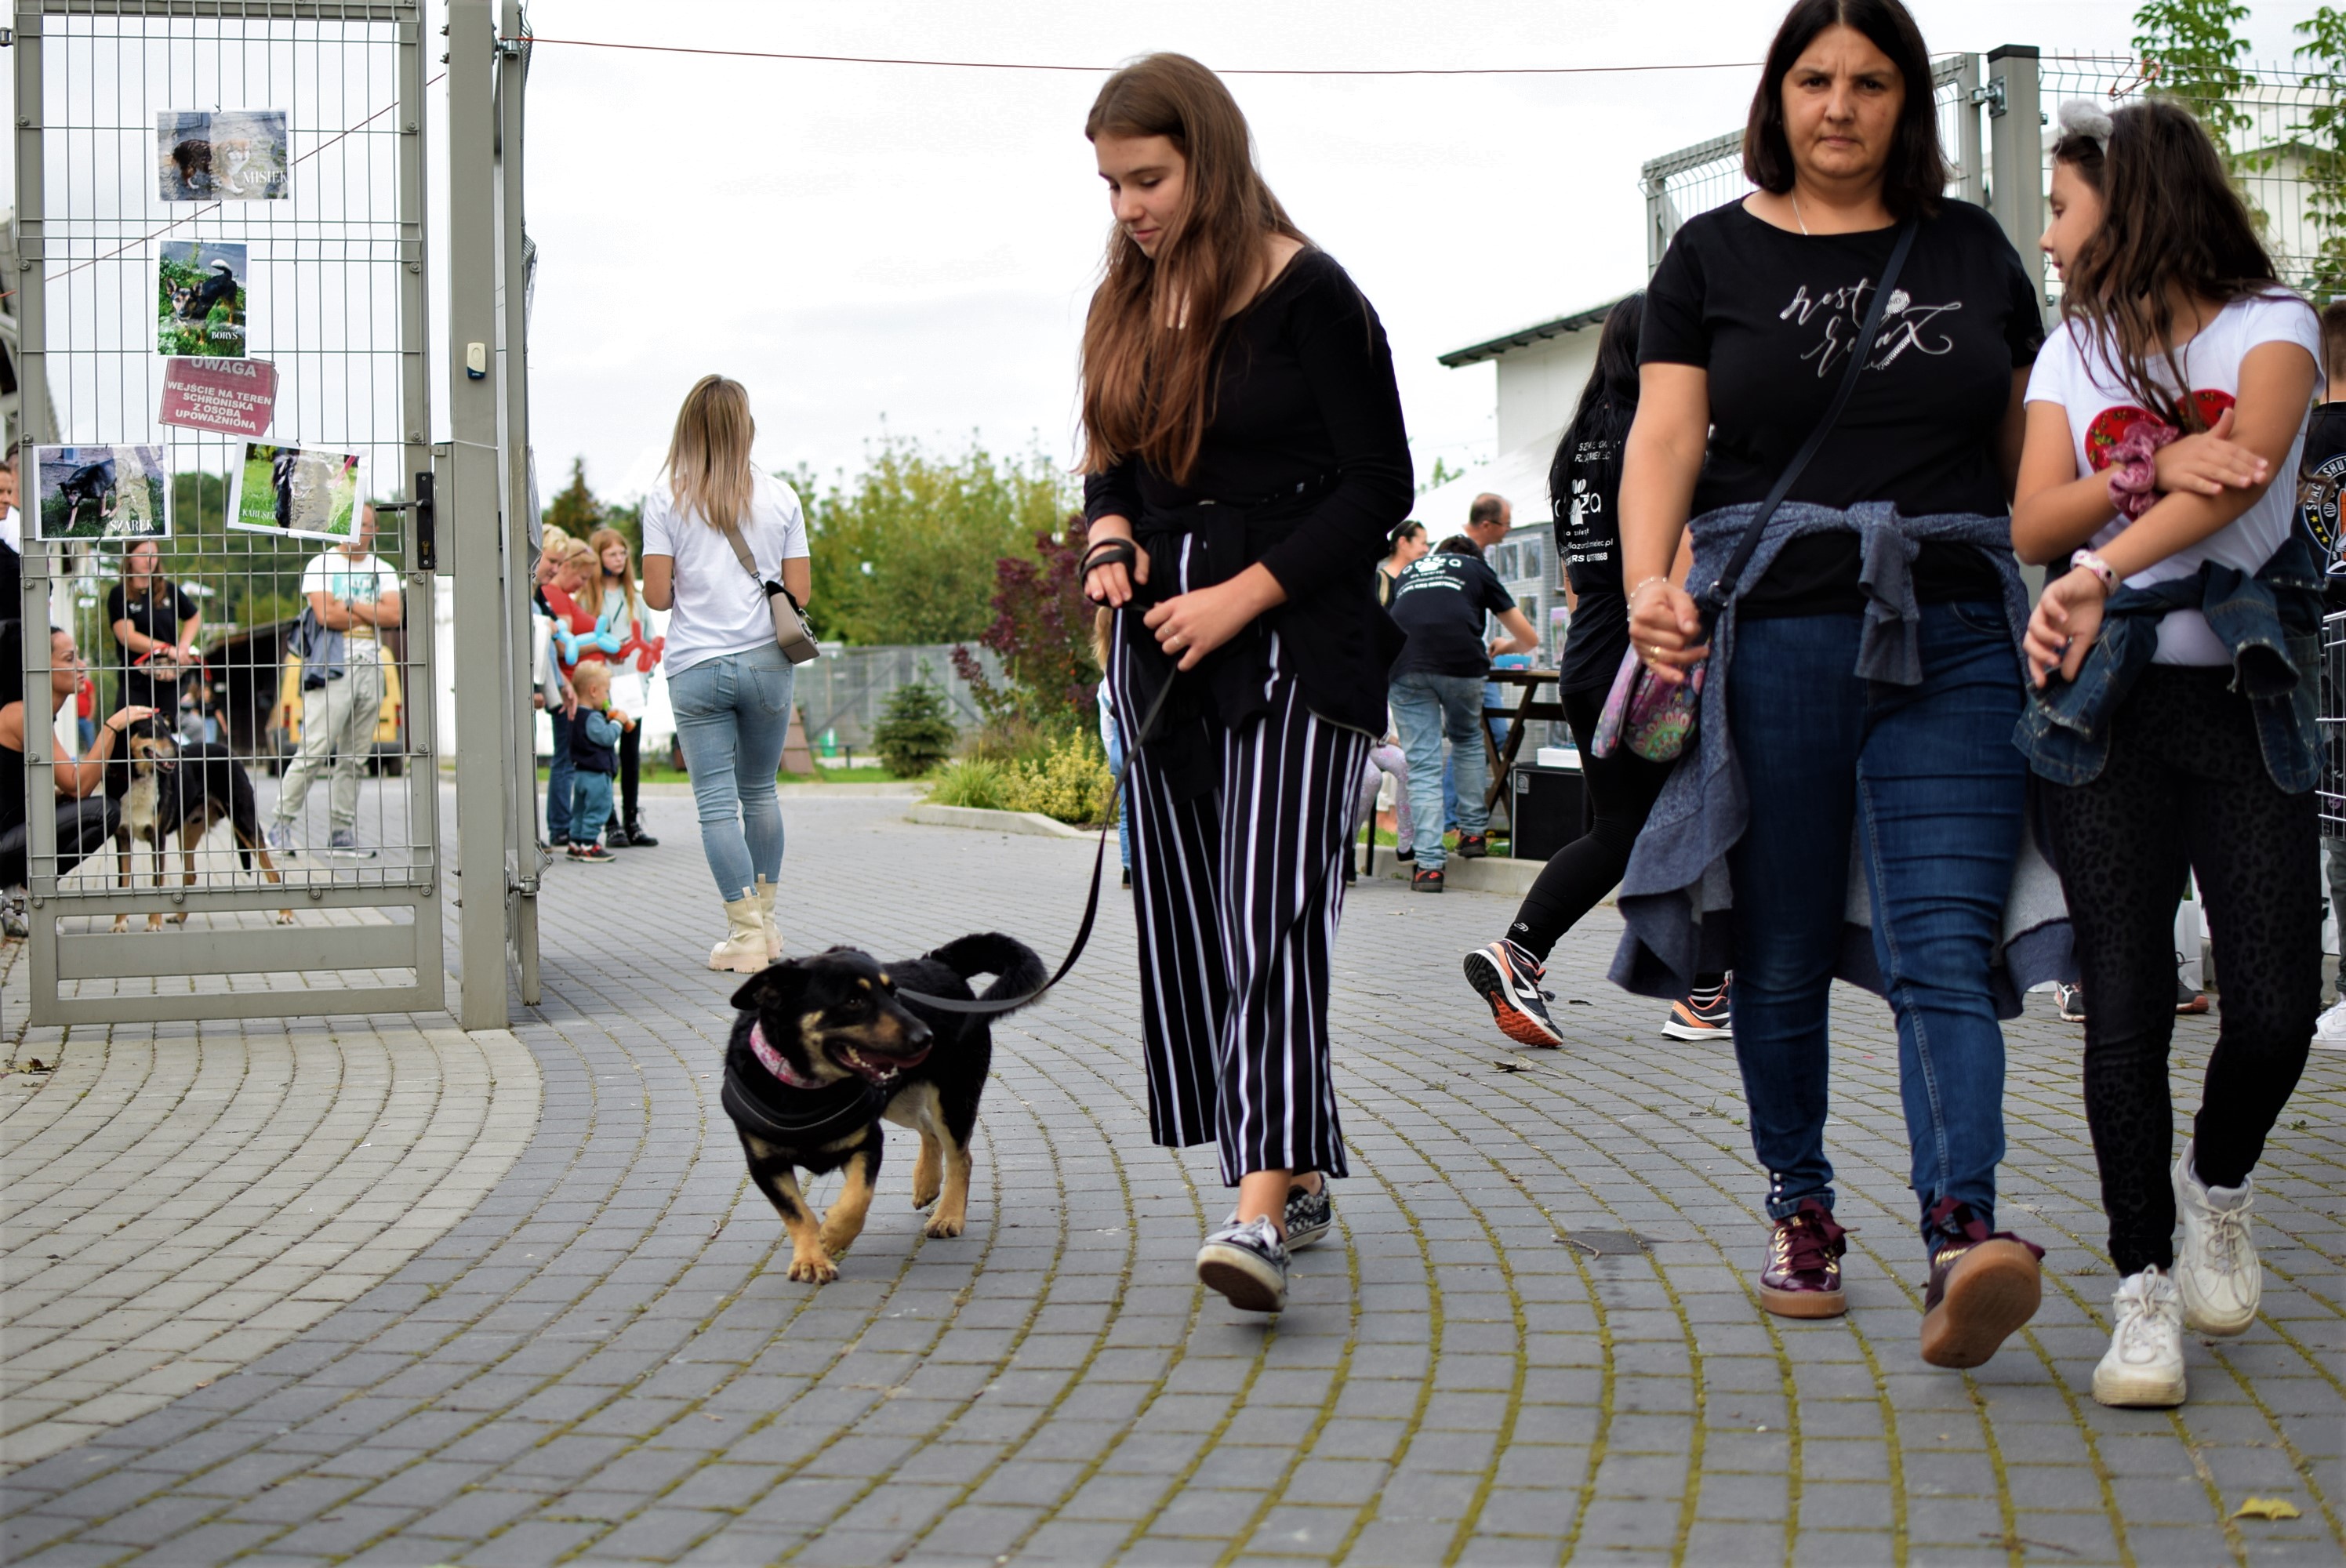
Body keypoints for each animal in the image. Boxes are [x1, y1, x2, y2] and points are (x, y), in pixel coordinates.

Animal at [107, 718, 292, 929]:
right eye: (151, 728)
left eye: (168, 729)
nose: (181, 752)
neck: (137, 778)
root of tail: (228, 751)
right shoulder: (122, 838)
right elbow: (123, 883)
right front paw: (120, 923)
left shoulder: (158, 838)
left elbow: (157, 882)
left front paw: (154, 923)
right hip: (188, 831)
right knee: (190, 875)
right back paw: (179, 917)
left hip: (244, 821)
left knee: (274, 872)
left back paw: (286, 914)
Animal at [717, 938, 1041, 1276]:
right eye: (854, 1001)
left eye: (893, 993)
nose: (926, 1037)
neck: (806, 1089)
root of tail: (939, 963)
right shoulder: (765, 1164)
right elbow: (797, 1213)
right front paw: (810, 1259)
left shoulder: (868, 1142)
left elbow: (857, 1198)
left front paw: (833, 1234)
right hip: (900, 1101)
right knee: (929, 1130)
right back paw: (926, 1182)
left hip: (953, 1097)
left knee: (960, 1157)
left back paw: (948, 1215)